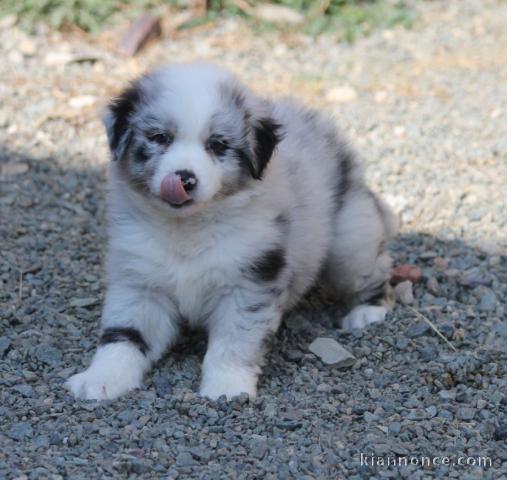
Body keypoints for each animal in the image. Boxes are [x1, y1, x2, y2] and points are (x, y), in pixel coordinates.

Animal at [65, 63, 398, 402]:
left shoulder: (250, 282)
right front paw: (102, 378)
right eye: (159, 138)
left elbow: (233, 343)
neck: (187, 229)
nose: (184, 179)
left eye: (217, 145)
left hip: (351, 244)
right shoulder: (139, 283)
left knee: (375, 270)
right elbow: (124, 335)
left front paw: (227, 388)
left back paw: (368, 312)